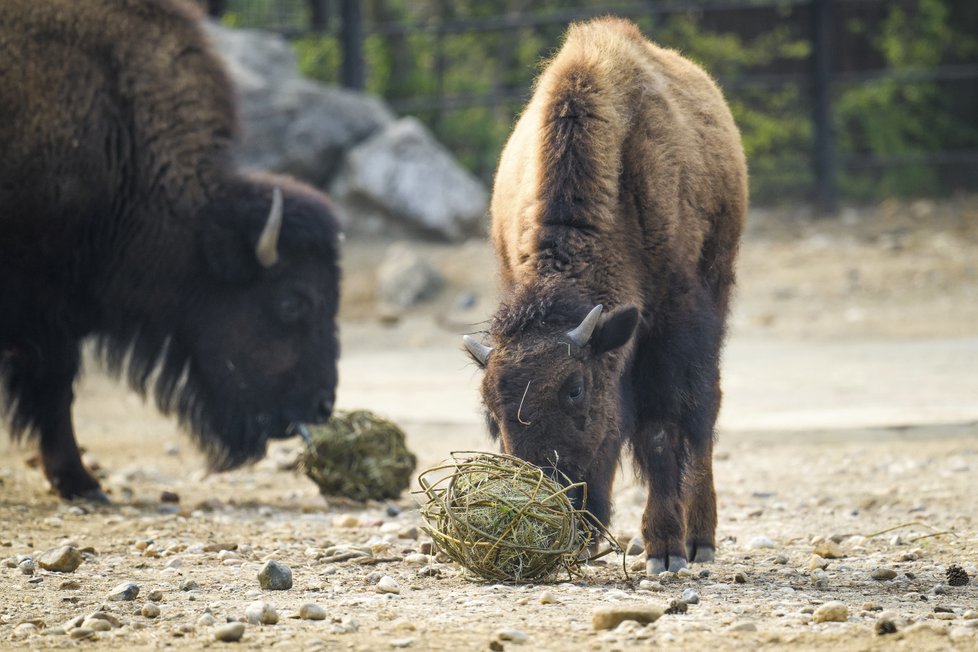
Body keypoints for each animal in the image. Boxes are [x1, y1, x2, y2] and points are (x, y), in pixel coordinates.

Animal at [466, 17, 748, 572]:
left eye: (575, 387)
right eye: (489, 404)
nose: (562, 509)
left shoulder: (670, 328)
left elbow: (662, 431)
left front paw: (665, 549)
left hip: (718, 288)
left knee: (704, 417)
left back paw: (699, 540)